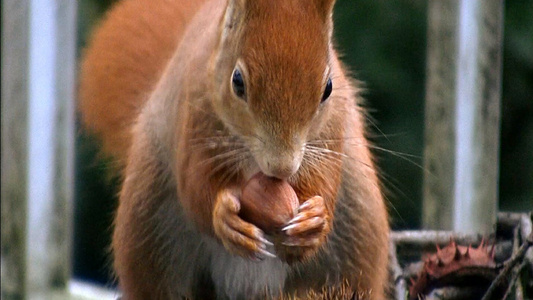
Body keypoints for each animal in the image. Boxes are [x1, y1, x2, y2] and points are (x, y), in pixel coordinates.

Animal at [79, 0, 388, 298]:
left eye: (328, 88)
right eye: (237, 81)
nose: (281, 167)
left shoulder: (332, 131)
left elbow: (326, 178)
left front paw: (315, 219)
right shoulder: (192, 114)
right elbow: (194, 184)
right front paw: (225, 218)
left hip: (354, 233)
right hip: (153, 229)